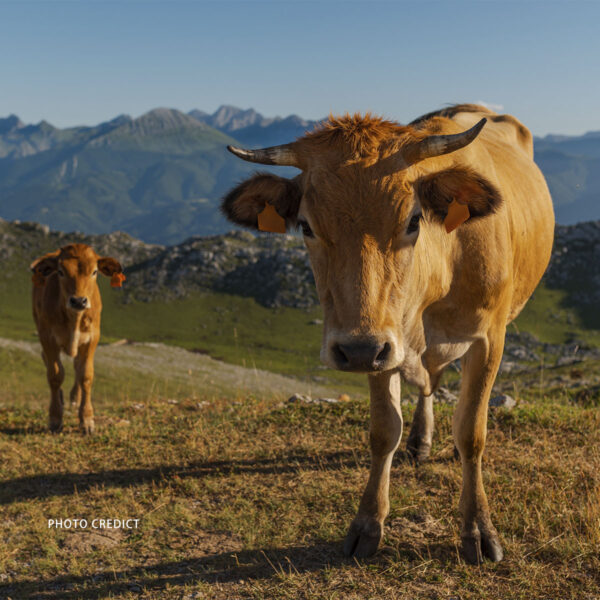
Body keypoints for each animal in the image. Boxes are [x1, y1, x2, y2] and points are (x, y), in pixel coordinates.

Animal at [30, 244, 125, 436]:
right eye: (60, 272)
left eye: (94, 271)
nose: (79, 301)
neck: (74, 319)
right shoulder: (47, 337)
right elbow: (55, 375)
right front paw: (55, 419)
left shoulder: (92, 338)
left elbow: (85, 375)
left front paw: (87, 420)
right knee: (49, 361)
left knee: (77, 367)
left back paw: (75, 397)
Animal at [219, 105, 552, 564]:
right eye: (305, 226)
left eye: (414, 220)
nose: (357, 349)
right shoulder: (379, 343)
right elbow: (382, 432)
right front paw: (367, 524)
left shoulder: (489, 339)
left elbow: (472, 432)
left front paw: (478, 530)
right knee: (430, 382)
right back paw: (420, 440)